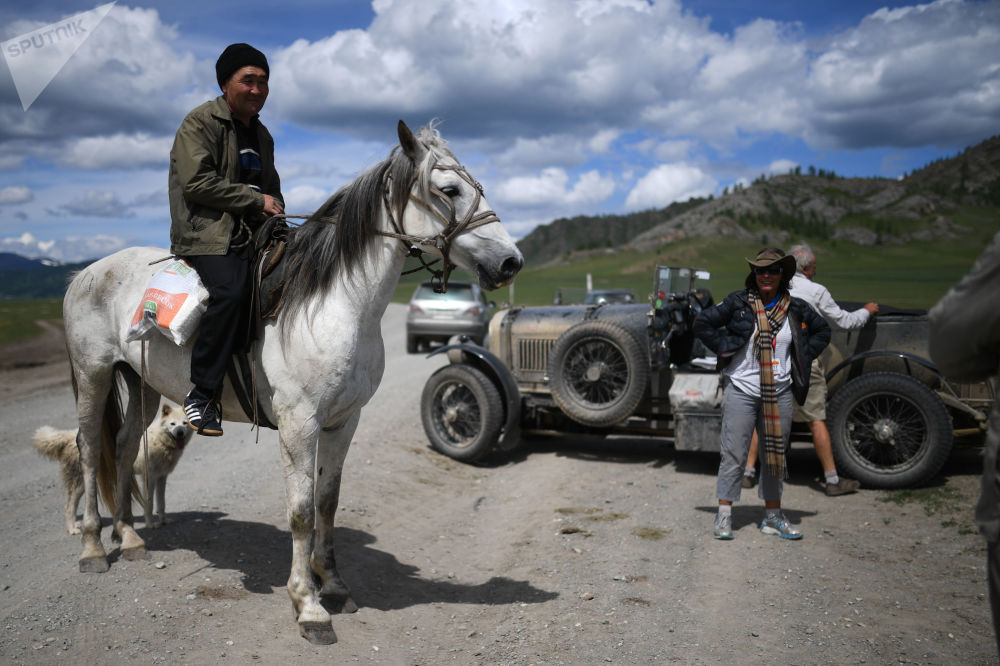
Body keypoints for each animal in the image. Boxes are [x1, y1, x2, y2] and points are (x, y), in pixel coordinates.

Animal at [32, 402, 193, 532]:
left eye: (184, 423)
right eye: (172, 424)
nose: (179, 432)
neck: (161, 440)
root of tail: (70, 435)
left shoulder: (161, 477)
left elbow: (161, 503)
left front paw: (164, 521)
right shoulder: (149, 478)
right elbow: (149, 504)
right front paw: (150, 524)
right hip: (80, 484)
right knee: (68, 507)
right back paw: (72, 529)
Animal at [61, 120, 524, 644]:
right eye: (448, 190)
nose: (511, 262)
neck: (339, 303)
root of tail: (85, 273)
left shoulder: (343, 421)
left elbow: (327, 502)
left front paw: (335, 585)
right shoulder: (299, 424)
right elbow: (301, 511)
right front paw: (308, 605)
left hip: (141, 383)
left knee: (121, 447)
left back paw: (130, 536)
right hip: (94, 373)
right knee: (90, 449)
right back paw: (93, 548)